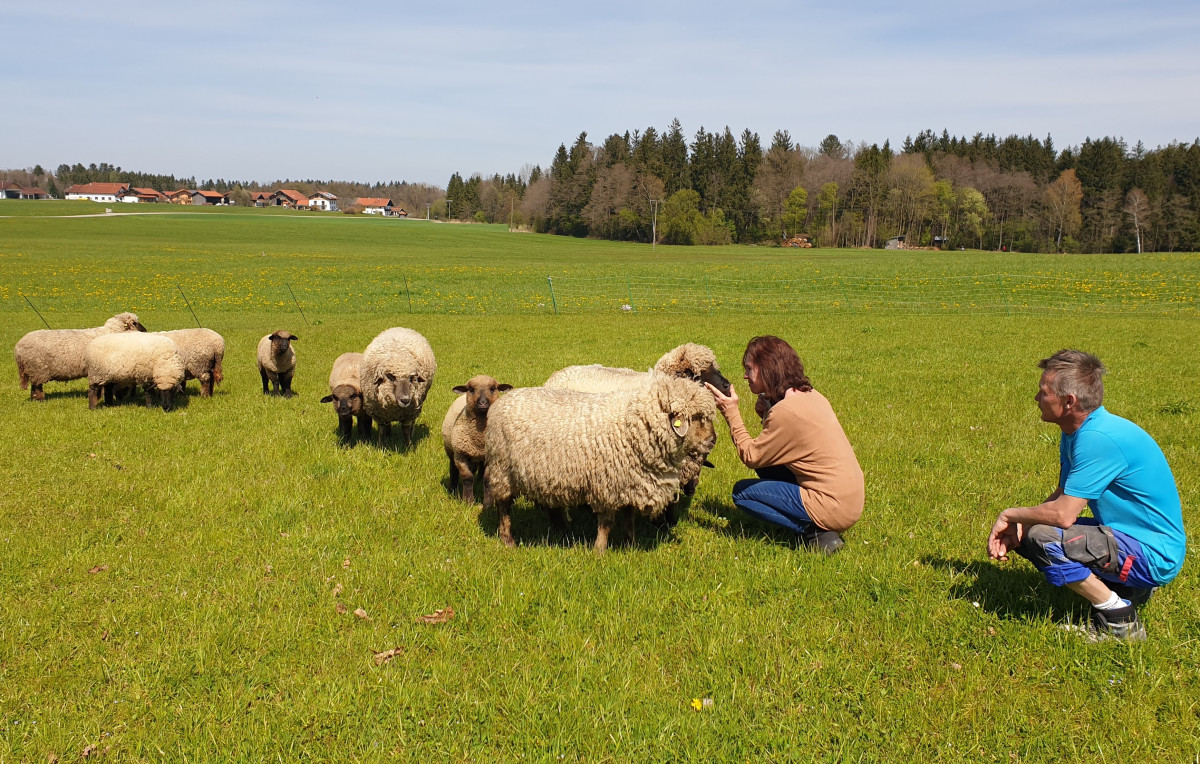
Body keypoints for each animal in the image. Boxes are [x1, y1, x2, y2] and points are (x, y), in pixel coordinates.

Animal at [14, 309, 146, 398]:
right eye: (135, 323)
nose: (145, 330)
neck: (112, 332)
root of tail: (18, 347)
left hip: (34, 371)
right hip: (38, 369)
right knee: (37, 387)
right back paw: (40, 399)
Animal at [444, 374, 513, 503]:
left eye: (493, 388)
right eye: (471, 389)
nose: (482, 403)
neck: (479, 439)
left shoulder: (490, 456)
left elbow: (487, 479)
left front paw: (488, 502)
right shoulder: (460, 455)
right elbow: (467, 477)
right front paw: (468, 501)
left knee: (480, 469)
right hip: (451, 450)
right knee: (453, 469)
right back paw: (453, 489)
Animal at [482, 371, 715, 554]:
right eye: (696, 417)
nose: (712, 440)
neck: (635, 427)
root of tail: (502, 401)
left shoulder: (630, 483)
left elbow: (629, 519)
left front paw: (630, 545)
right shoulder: (606, 486)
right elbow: (606, 523)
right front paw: (599, 551)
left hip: (542, 474)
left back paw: (562, 529)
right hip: (503, 470)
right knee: (503, 506)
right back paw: (508, 539)